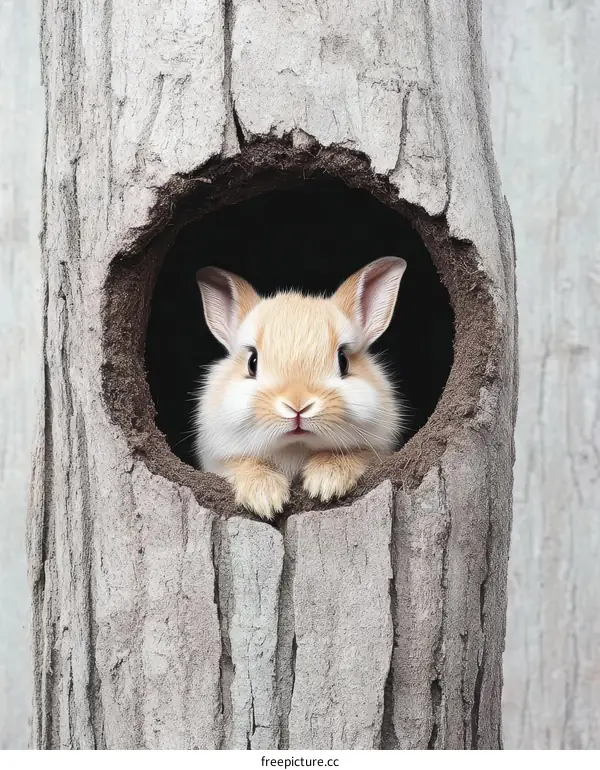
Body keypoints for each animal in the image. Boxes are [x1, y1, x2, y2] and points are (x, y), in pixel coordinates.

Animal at [193, 256, 407, 520]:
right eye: (252, 362)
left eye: (343, 360)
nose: (297, 406)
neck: (296, 447)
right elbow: (243, 464)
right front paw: (266, 499)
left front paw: (325, 484)